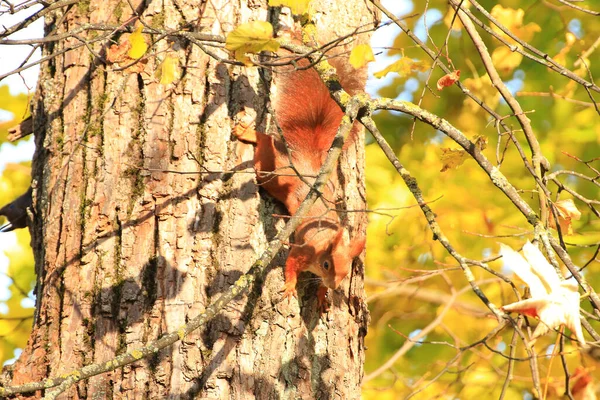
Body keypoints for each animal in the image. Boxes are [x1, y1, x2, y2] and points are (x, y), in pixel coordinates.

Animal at [238, 54, 366, 308]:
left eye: (347, 272)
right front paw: (289, 287)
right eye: (327, 264)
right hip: (275, 173)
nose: (334, 286)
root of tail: (308, 162)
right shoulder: (302, 251)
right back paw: (247, 133)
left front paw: (322, 295)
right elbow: (289, 265)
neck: (323, 243)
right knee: (264, 144)